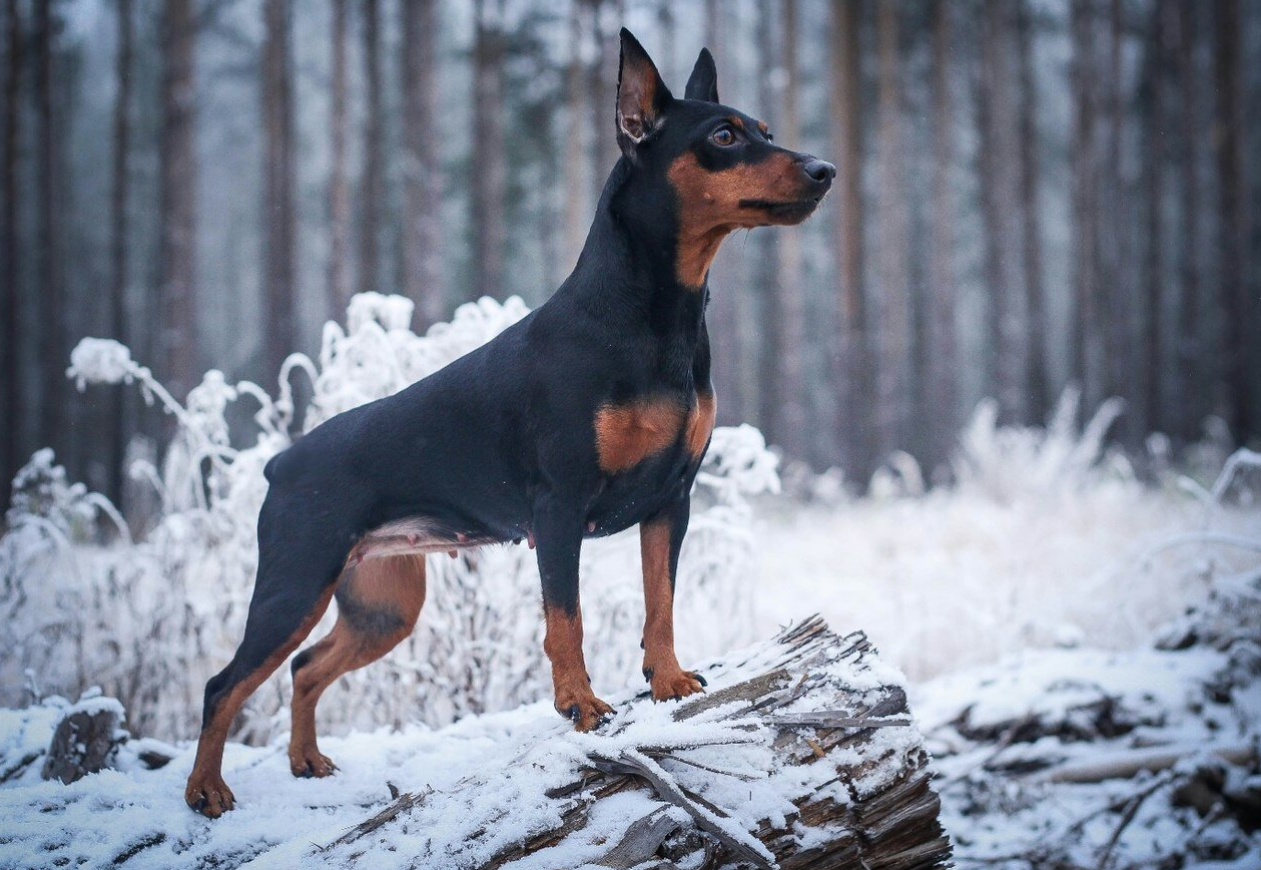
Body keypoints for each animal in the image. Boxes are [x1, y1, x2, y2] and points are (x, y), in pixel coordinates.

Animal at [186, 25, 832, 812]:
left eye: (764, 129)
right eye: (725, 135)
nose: (825, 170)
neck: (655, 317)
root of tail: (282, 462)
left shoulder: (670, 501)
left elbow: (660, 602)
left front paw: (669, 681)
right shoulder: (558, 509)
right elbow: (566, 621)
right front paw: (580, 705)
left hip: (382, 606)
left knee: (306, 666)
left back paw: (306, 760)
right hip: (297, 578)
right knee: (223, 684)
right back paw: (206, 789)